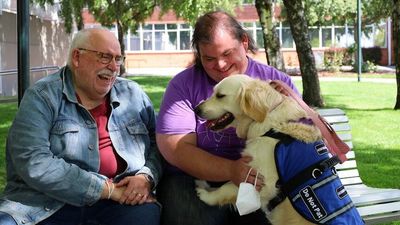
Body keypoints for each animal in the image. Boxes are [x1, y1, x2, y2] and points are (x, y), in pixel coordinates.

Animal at [195, 74, 366, 225]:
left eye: (220, 95)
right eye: (213, 93)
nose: (196, 109)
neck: (268, 119)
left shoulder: (265, 182)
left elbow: (228, 187)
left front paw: (205, 195)